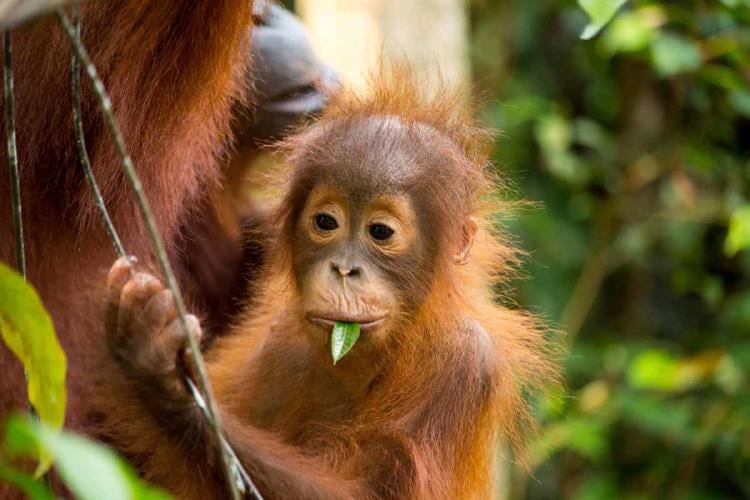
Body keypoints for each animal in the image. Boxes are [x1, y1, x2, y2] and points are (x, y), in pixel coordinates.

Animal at [100, 71, 558, 499]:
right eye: (325, 222)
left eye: (380, 232)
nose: (344, 269)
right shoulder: (279, 339)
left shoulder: (464, 361)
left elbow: (368, 491)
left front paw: (167, 382)